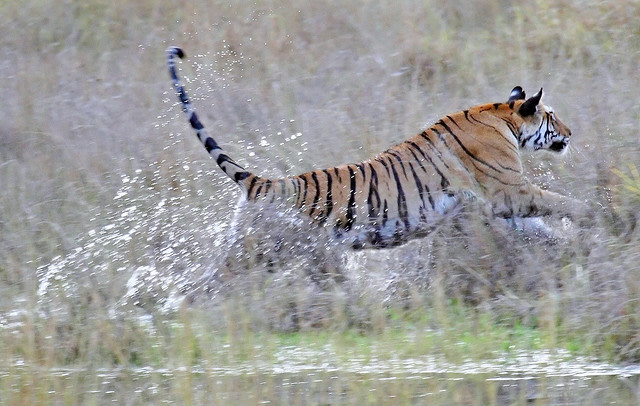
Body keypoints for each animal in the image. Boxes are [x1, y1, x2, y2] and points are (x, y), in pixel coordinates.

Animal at [166, 46, 586, 250]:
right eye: (552, 115)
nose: (572, 131)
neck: (502, 117)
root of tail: (261, 183)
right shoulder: (510, 192)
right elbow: (563, 203)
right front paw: (598, 218)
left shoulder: (501, 204)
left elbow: (540, 225)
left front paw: (570, 244)